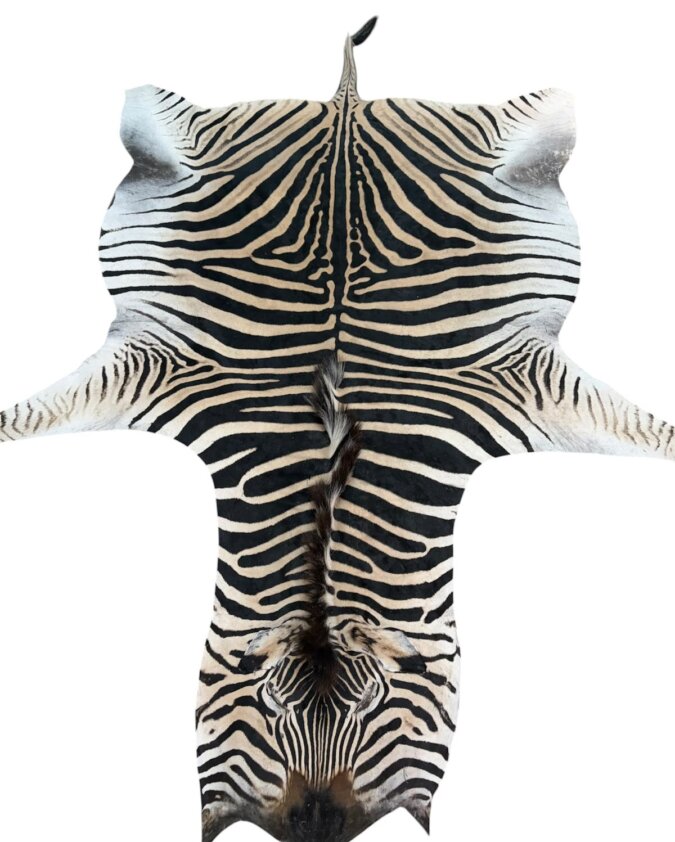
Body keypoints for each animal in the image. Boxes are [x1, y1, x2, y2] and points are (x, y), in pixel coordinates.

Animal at [0, 14, 673, 842]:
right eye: (253, 700)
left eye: (388, 702)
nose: (314, 823)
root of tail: (346, 104)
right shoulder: (158, 364)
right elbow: (31, 415)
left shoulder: (516, 380)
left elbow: (642, 429)